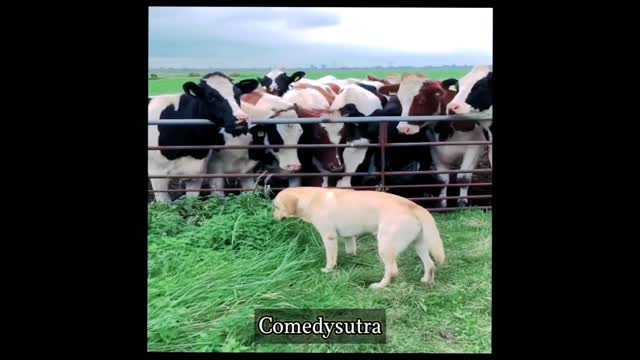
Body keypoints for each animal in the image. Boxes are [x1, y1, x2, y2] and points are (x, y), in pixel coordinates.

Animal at [274, 187, 444, 288]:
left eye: (276, 207)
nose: (273, 218)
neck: (311, 198)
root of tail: (415, 206)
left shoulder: (329, 236)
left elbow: (330, 258)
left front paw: (328, 270)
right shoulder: (349, 237)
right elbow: (350, 250)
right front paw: (352, 260)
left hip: (385, 246)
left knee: (392, 271)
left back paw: (379, 286)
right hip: (419, 245)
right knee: (430, 264)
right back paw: (427, 281)